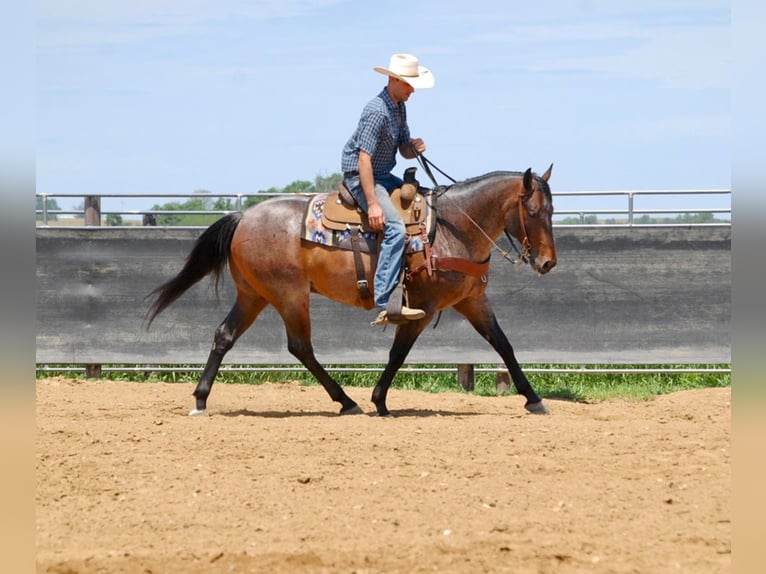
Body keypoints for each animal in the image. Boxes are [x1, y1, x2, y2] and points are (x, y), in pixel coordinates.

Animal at [147, 166, 560, 418]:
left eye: (553, 210)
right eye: (533, 210)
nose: (547, 263)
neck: (452, 227)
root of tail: (244, 216)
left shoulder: (474, 302)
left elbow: (503, 345)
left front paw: (534, 399)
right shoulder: (420, 308)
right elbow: (397, 353)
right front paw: (379, 401)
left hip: (254, 295)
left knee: (225, 335)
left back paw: (201, 399)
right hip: (289, 295)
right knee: (300, 347)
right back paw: (346, 401)